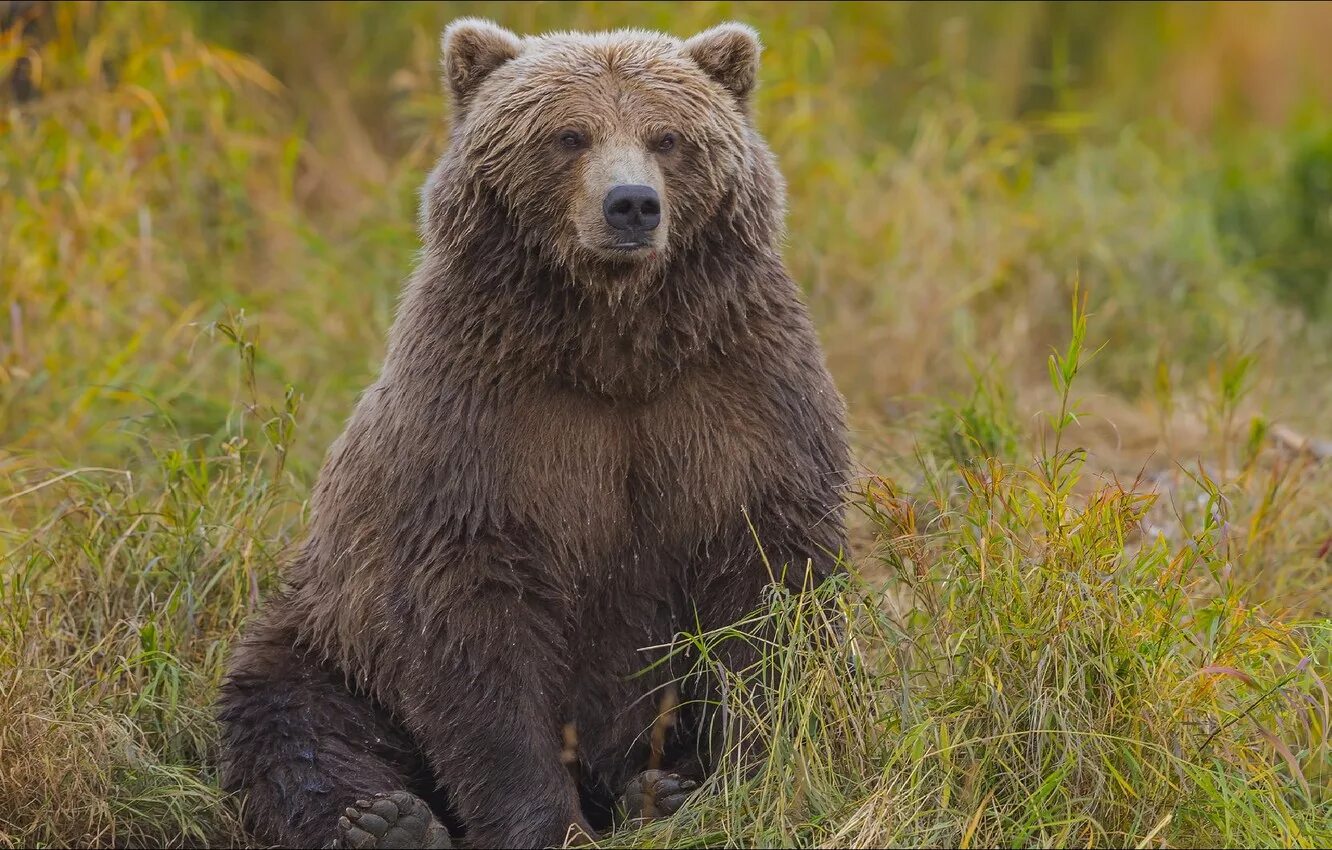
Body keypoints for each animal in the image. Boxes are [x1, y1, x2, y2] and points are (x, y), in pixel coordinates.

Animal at [215, 19, 841, 850]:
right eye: (569, 135)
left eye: (668, 136)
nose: (631, 204)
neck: (615, 348)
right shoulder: (483, 425)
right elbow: (475, 640)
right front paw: (545, 822)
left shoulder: (736, 397)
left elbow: (769, 593)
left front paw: (750, 778)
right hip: (329, 634)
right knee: (292, 715)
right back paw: (384, 819)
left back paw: (659, 792)